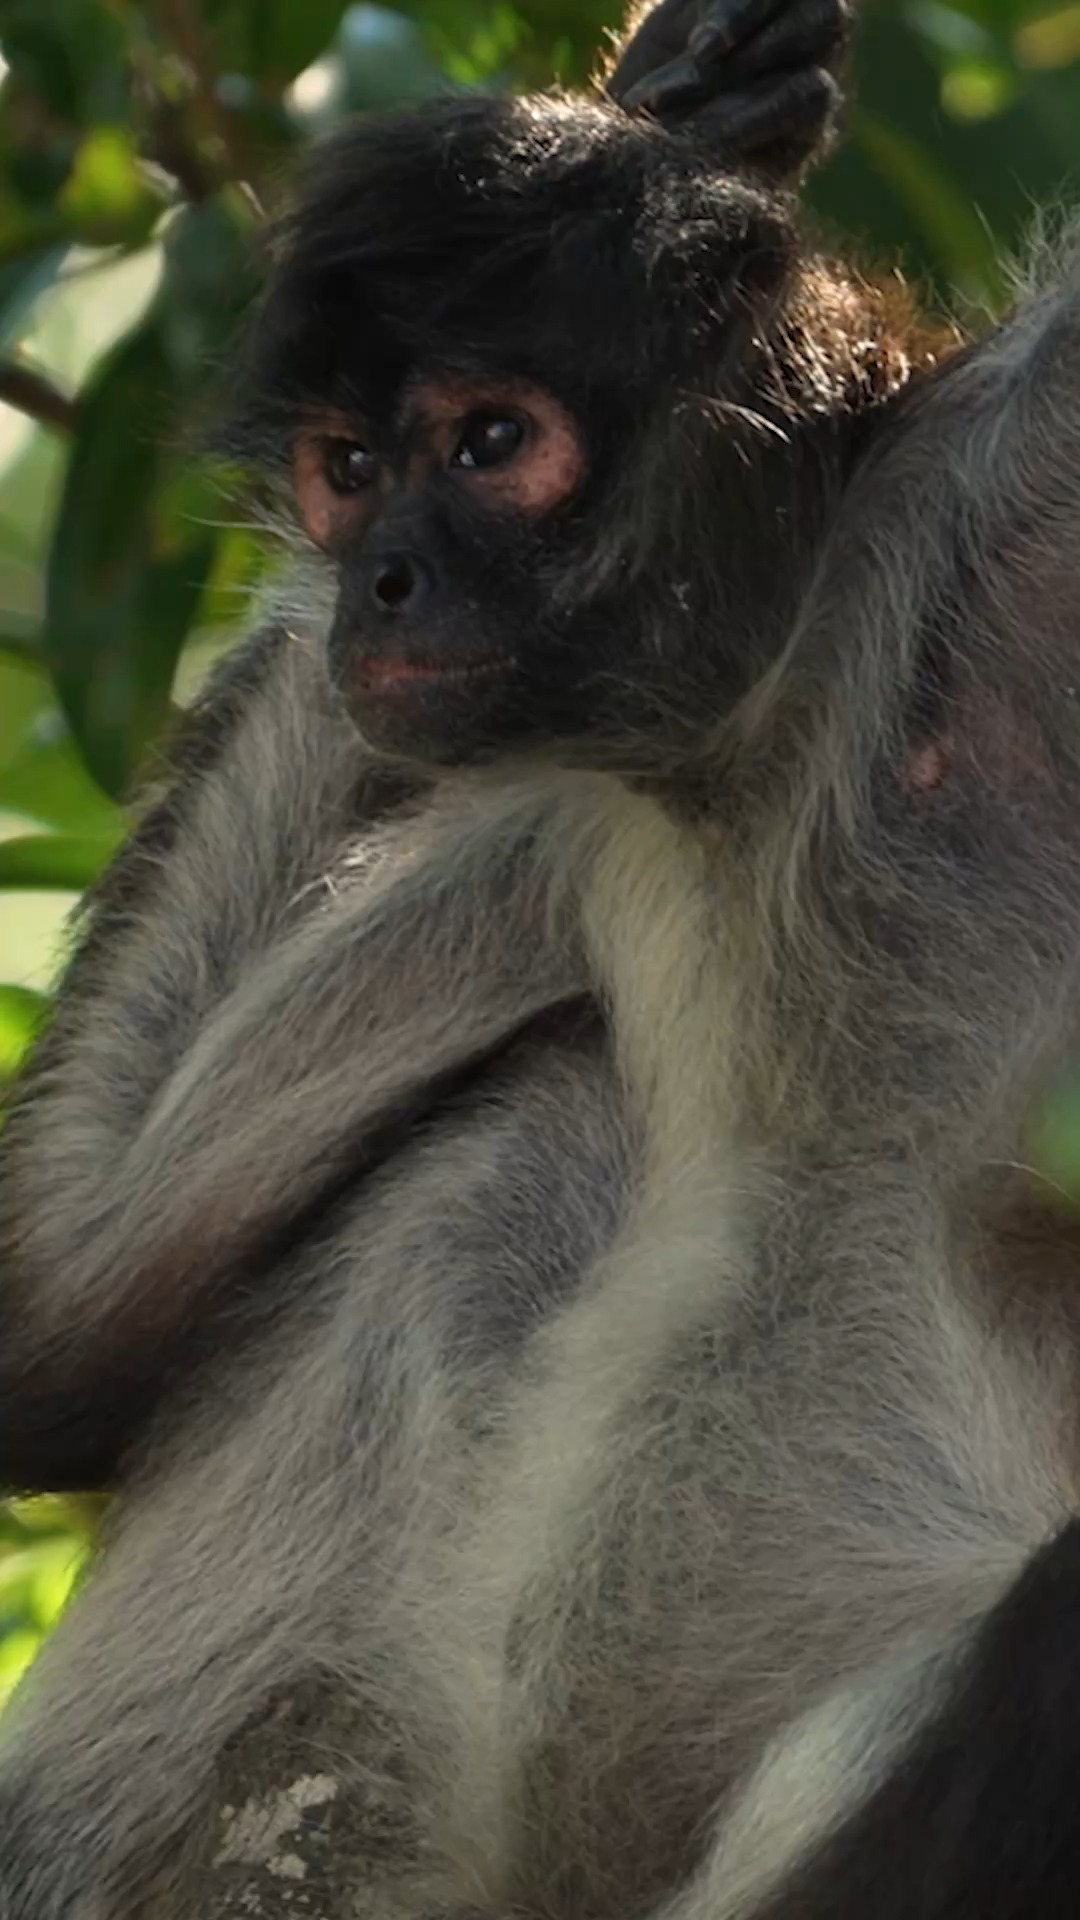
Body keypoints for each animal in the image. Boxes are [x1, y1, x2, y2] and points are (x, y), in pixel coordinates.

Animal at [2, 0, 1080, 1915]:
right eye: (351, 472)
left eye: (493, 441)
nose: (381, 586)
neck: (765, 751)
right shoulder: (559, 813)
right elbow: (53, 1320)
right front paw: (675, 109)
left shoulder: (1017, 510)